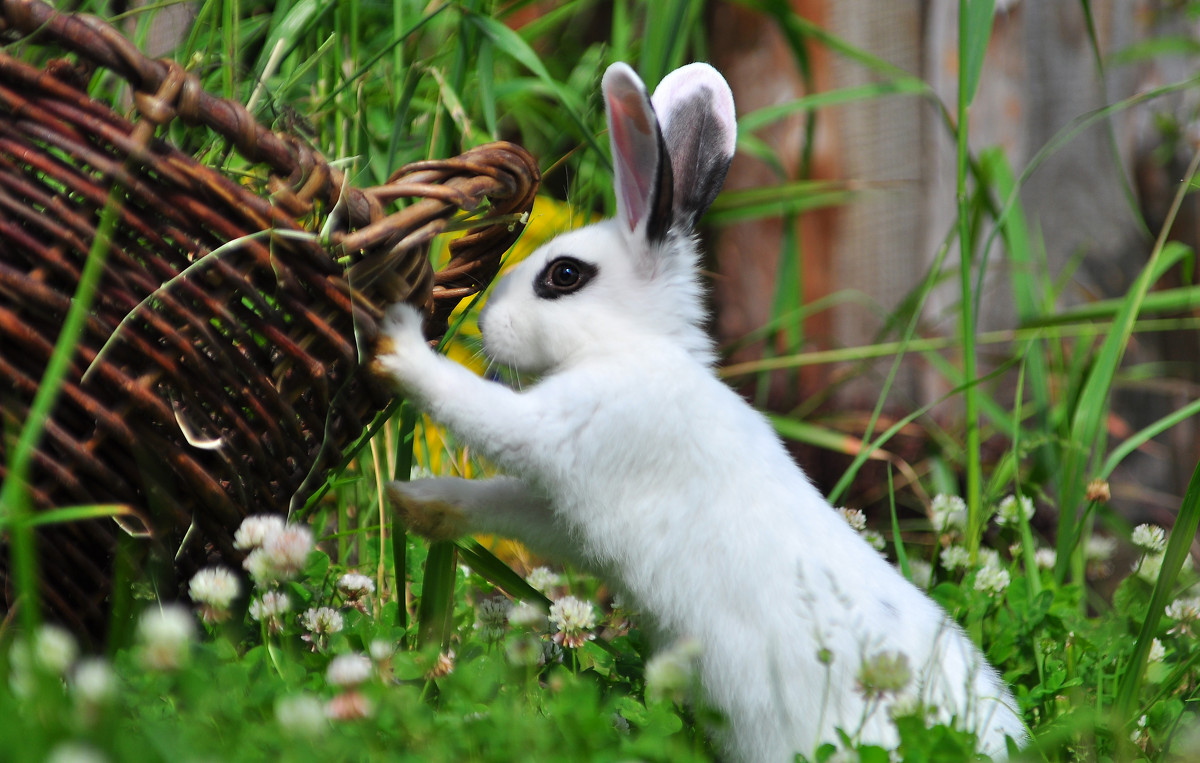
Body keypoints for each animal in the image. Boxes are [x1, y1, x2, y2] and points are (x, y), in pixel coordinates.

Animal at [372, 62, 1022, 758]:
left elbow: (476, 408)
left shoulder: (567, 430)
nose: (486, 325)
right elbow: (503, 504)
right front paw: (416, 503)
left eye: (564, 275)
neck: (637, 348)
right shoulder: (568, 516)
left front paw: (396, 341)